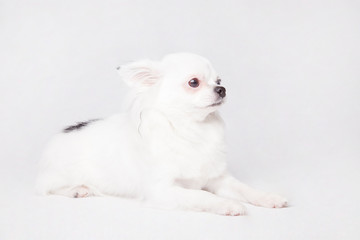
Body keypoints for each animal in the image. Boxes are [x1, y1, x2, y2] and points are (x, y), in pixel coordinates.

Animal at [36, 52, 288, 216]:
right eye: (194, 82)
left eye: (219, 81)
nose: (222, 89)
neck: (192, 129)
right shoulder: (163, 190)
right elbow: (203, 196)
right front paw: (227, 205)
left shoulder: (218, 178)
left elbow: (245, 189)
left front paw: (268, 197)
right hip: (60, 175)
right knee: (47, 186)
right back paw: (78, 190)